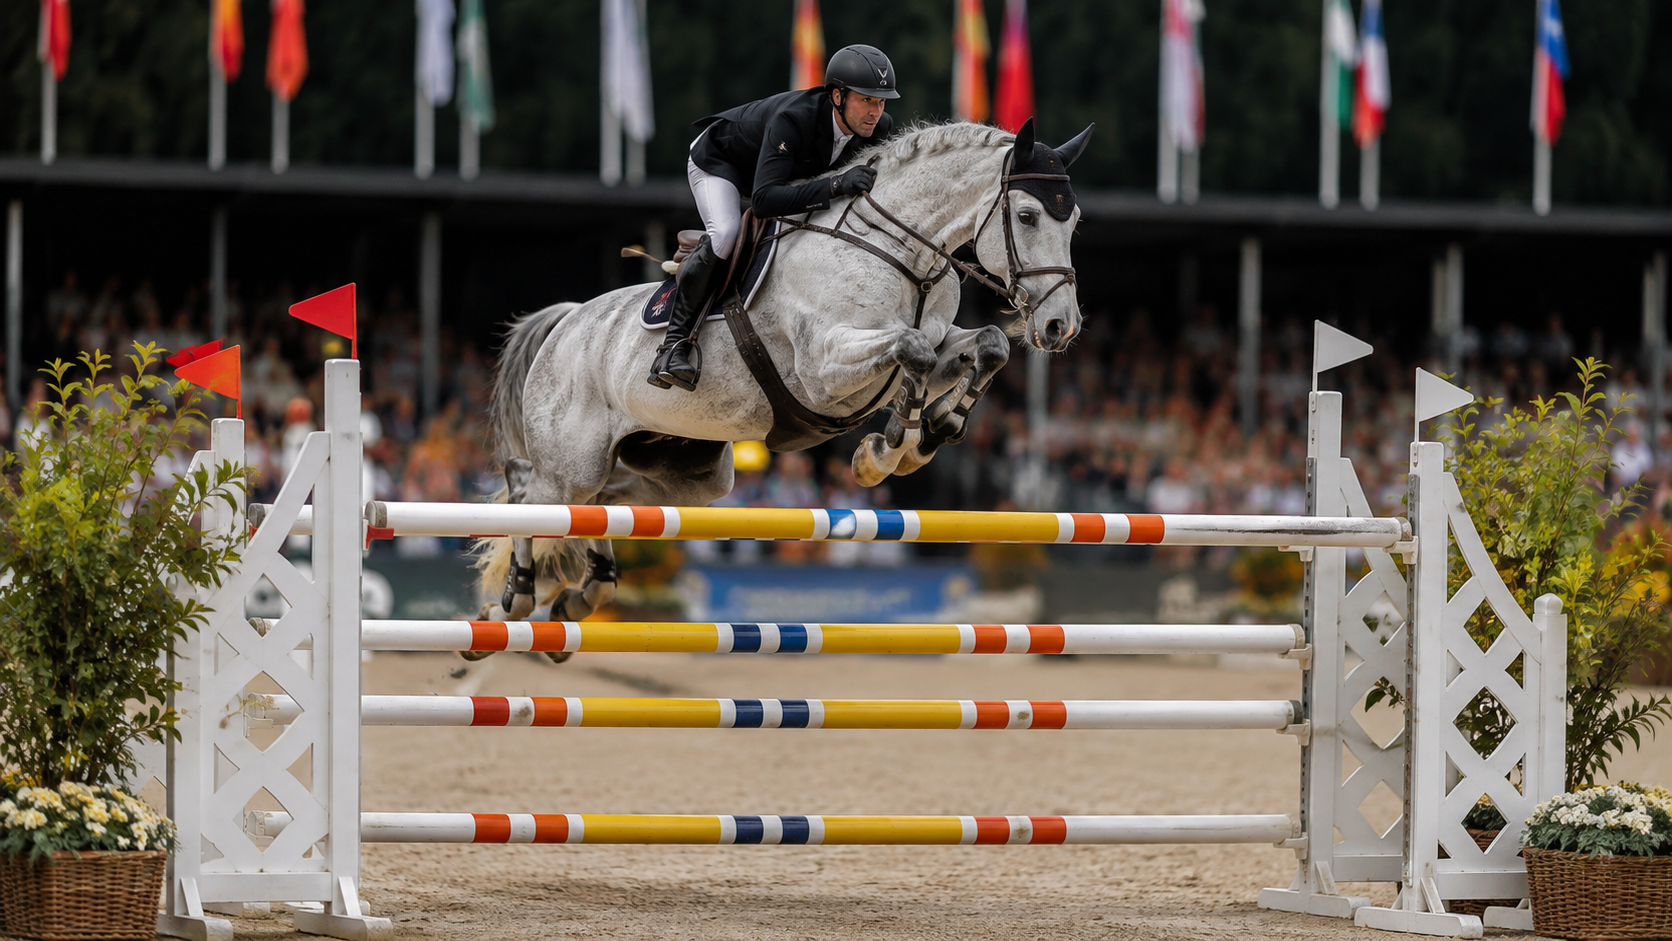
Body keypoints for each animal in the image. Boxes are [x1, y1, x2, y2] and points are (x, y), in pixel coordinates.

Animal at [469, 118, 1092, 653]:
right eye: (1029, 216)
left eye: (1074, 222)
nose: (1060, 327)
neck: (899, 252)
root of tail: (567, 322)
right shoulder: (823, 367)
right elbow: (910, 349)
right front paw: (886, 452)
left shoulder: (929, 348)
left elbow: (988, 345)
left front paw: (931, 432)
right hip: (571, 464)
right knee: (529, 497)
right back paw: (514, 598)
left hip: (685, 475)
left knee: (601, 503)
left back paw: (581, 594)